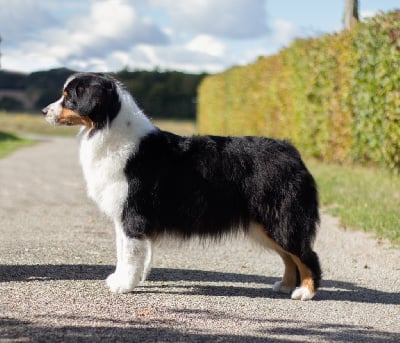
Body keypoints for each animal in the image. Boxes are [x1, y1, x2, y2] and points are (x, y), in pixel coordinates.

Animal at [42, 72, 320, 300]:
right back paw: (286, 285)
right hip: (265, 225)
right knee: (290, 257)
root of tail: (291, 150)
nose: (44, 111)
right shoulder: (122, 216)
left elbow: (129, 254)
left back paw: (305, 292)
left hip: (282, 220)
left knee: (307, 256)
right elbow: (124, 251)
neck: (107, 128)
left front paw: (124, 285)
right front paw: (122, 279)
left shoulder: (132, 215)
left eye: (69, 96)